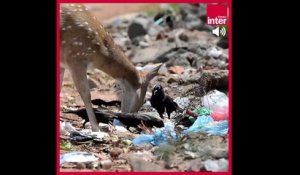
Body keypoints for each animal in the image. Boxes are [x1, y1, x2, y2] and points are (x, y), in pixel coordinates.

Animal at [59, 3, 162, 131]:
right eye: (144, 100)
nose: (131, 116)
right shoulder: (75, 59)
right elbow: (86, 94)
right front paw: (96, 129)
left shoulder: (63, 63)